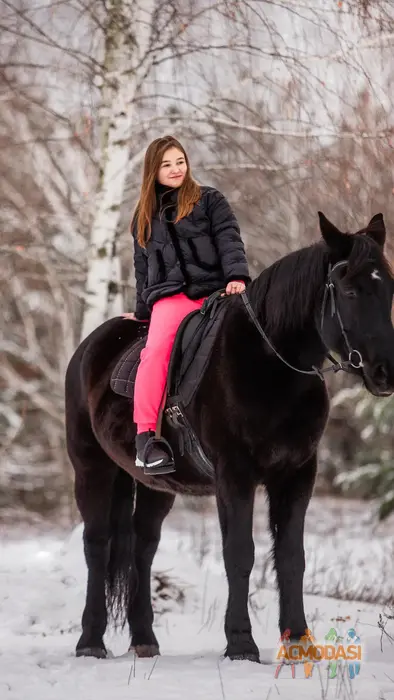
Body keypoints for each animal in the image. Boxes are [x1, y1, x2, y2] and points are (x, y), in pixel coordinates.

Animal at [64, 212, 394, 660]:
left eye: (388, 287)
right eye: (350, 290)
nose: (385, 372)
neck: (271, 364)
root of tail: (89, 347)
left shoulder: (296, 475)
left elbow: (292, 557)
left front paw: (298, 640)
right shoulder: (234, 474)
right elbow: (240, 553)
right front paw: (240, 643)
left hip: (154, 484)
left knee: (142, 547)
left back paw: (145, 639)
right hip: (91, 468)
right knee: (96, 545)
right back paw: (90, 642)